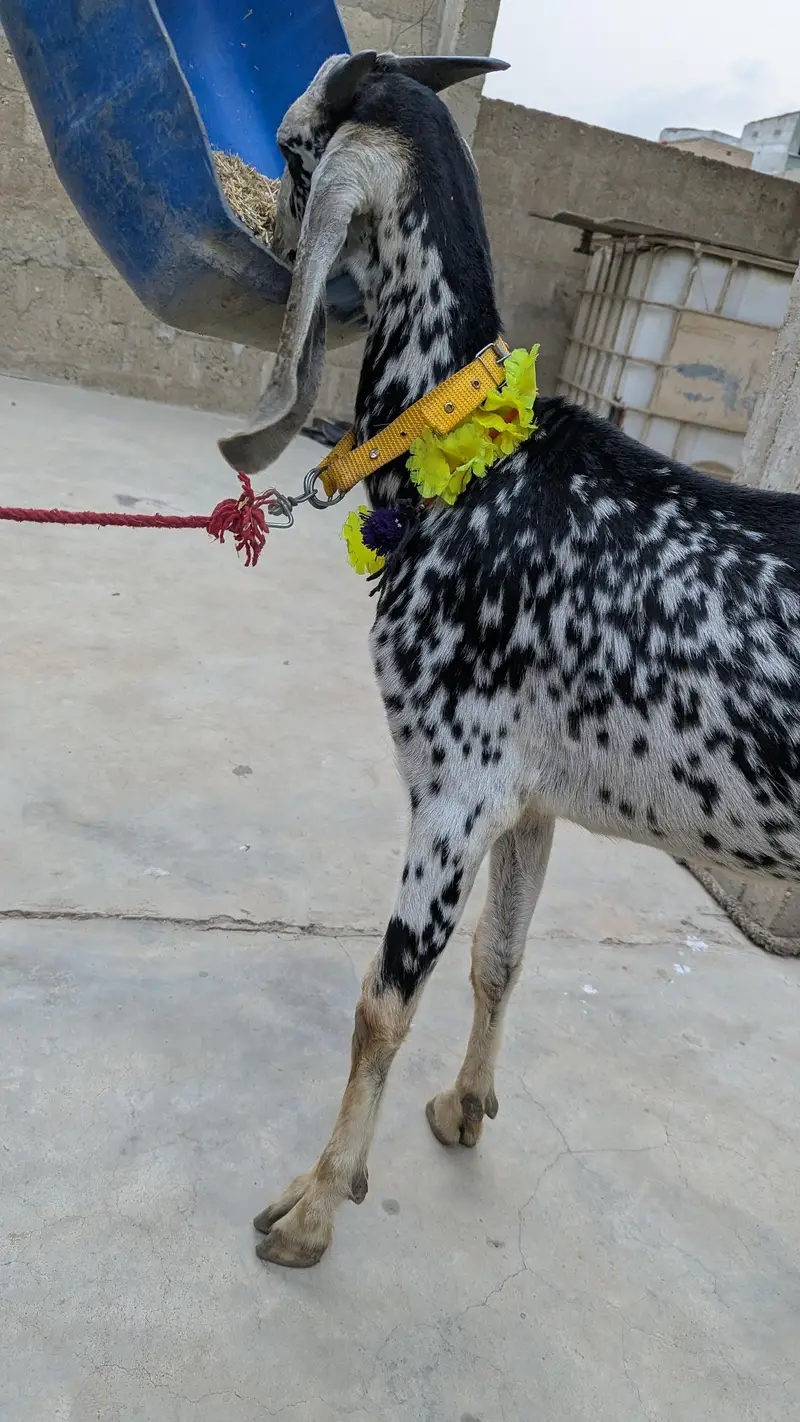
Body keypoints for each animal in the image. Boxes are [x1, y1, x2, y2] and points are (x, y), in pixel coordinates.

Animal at [220, 51, 800, 1268]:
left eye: (293, 149)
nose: (268, 238)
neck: (477, 468)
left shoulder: (456, 785)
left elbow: (381, 1004)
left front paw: (312, 1207)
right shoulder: (529, 798)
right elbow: (501, 955)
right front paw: (463, 1109)